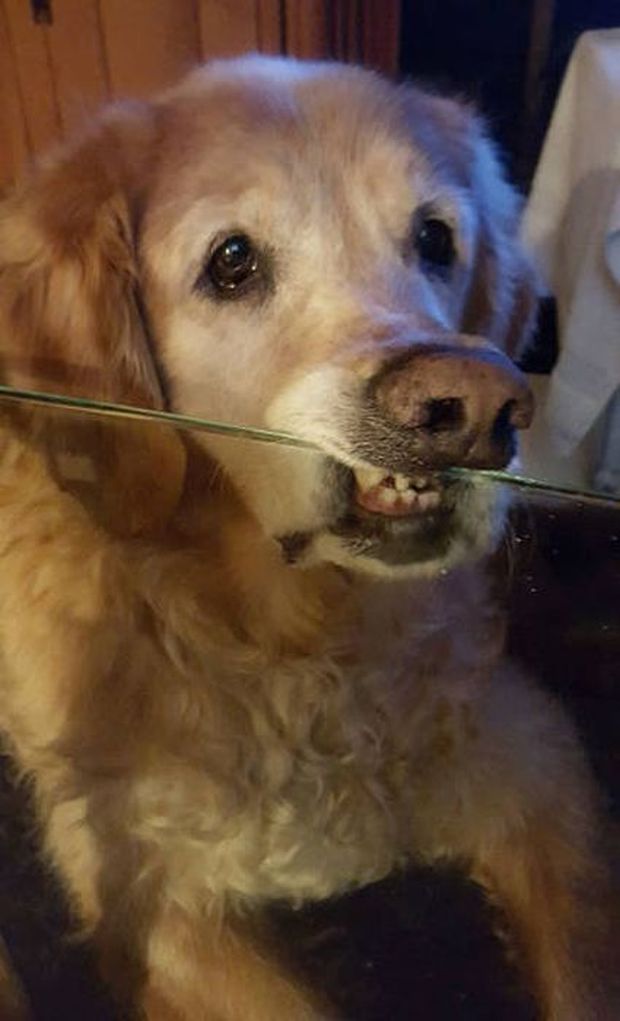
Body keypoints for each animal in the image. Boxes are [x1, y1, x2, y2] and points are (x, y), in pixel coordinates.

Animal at [0, 57, 616, 1021]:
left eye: (435, 238)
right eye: (232, 260)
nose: (473, 405)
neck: (298, 643)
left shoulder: (533, 760)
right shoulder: (146, 888)